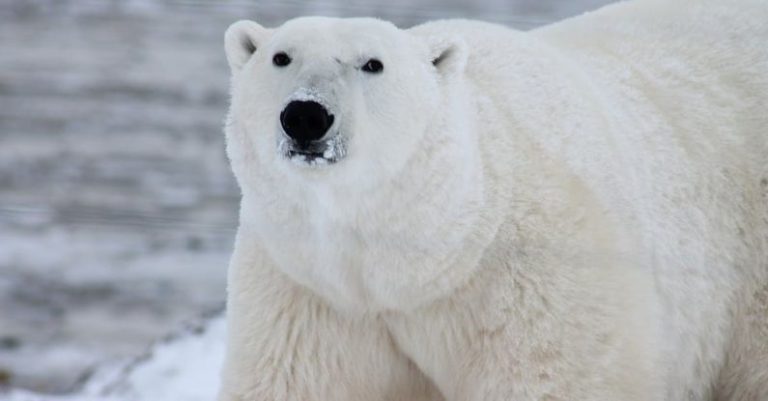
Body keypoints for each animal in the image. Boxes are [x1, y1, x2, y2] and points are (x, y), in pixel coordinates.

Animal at [217, 0, 768, 400]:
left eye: (373, 64)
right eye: (281, 57)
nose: (306, 115)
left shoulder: (535, 278)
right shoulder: (310, 291)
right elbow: (297, 381)